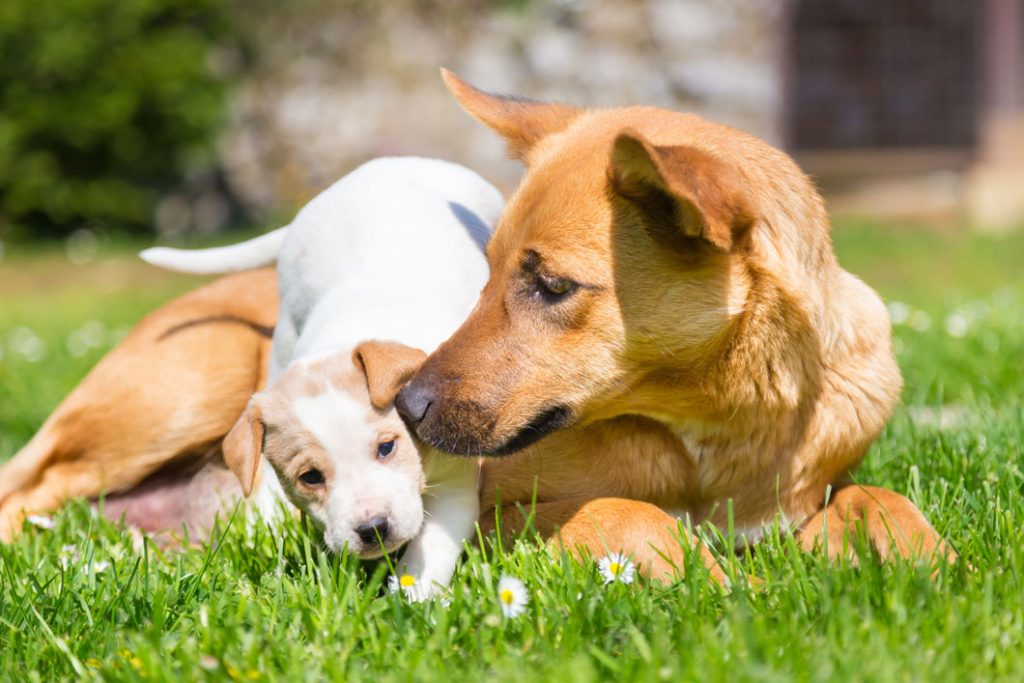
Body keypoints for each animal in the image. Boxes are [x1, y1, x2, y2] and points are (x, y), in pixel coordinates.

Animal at [142, 157, 501, 593]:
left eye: (387, 447)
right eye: (310, 476)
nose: (374, 527)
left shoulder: (455, 484)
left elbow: (428, 552)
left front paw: (411, 599)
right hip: (283, 335)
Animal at [395, 73, 954, 577]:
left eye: (553, 285)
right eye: (486, 273)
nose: (405, 406)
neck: (709, 432)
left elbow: (877, 497)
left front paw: (936, 565)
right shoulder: (491, 519)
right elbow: (627, 511)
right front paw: (726, 583)